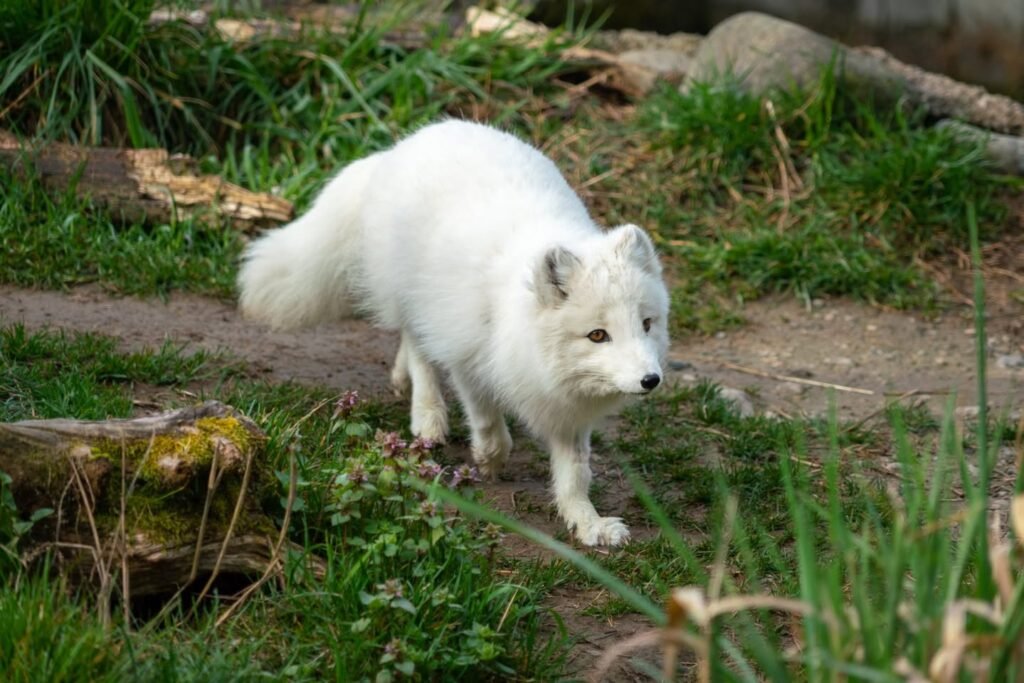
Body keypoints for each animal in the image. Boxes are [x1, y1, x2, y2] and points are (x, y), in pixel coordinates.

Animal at [238, 120, 670, 546]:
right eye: (598, 335)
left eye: (646, 324)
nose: (651, 380)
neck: (515, 322)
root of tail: (404, 144)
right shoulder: (468, 360)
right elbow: (488, 424)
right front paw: (489, 462)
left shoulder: (566, 410)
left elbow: (576, 474)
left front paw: (587, 523)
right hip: (415, 298)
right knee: (418, 346)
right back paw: (427, 416)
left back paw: (401, 380)